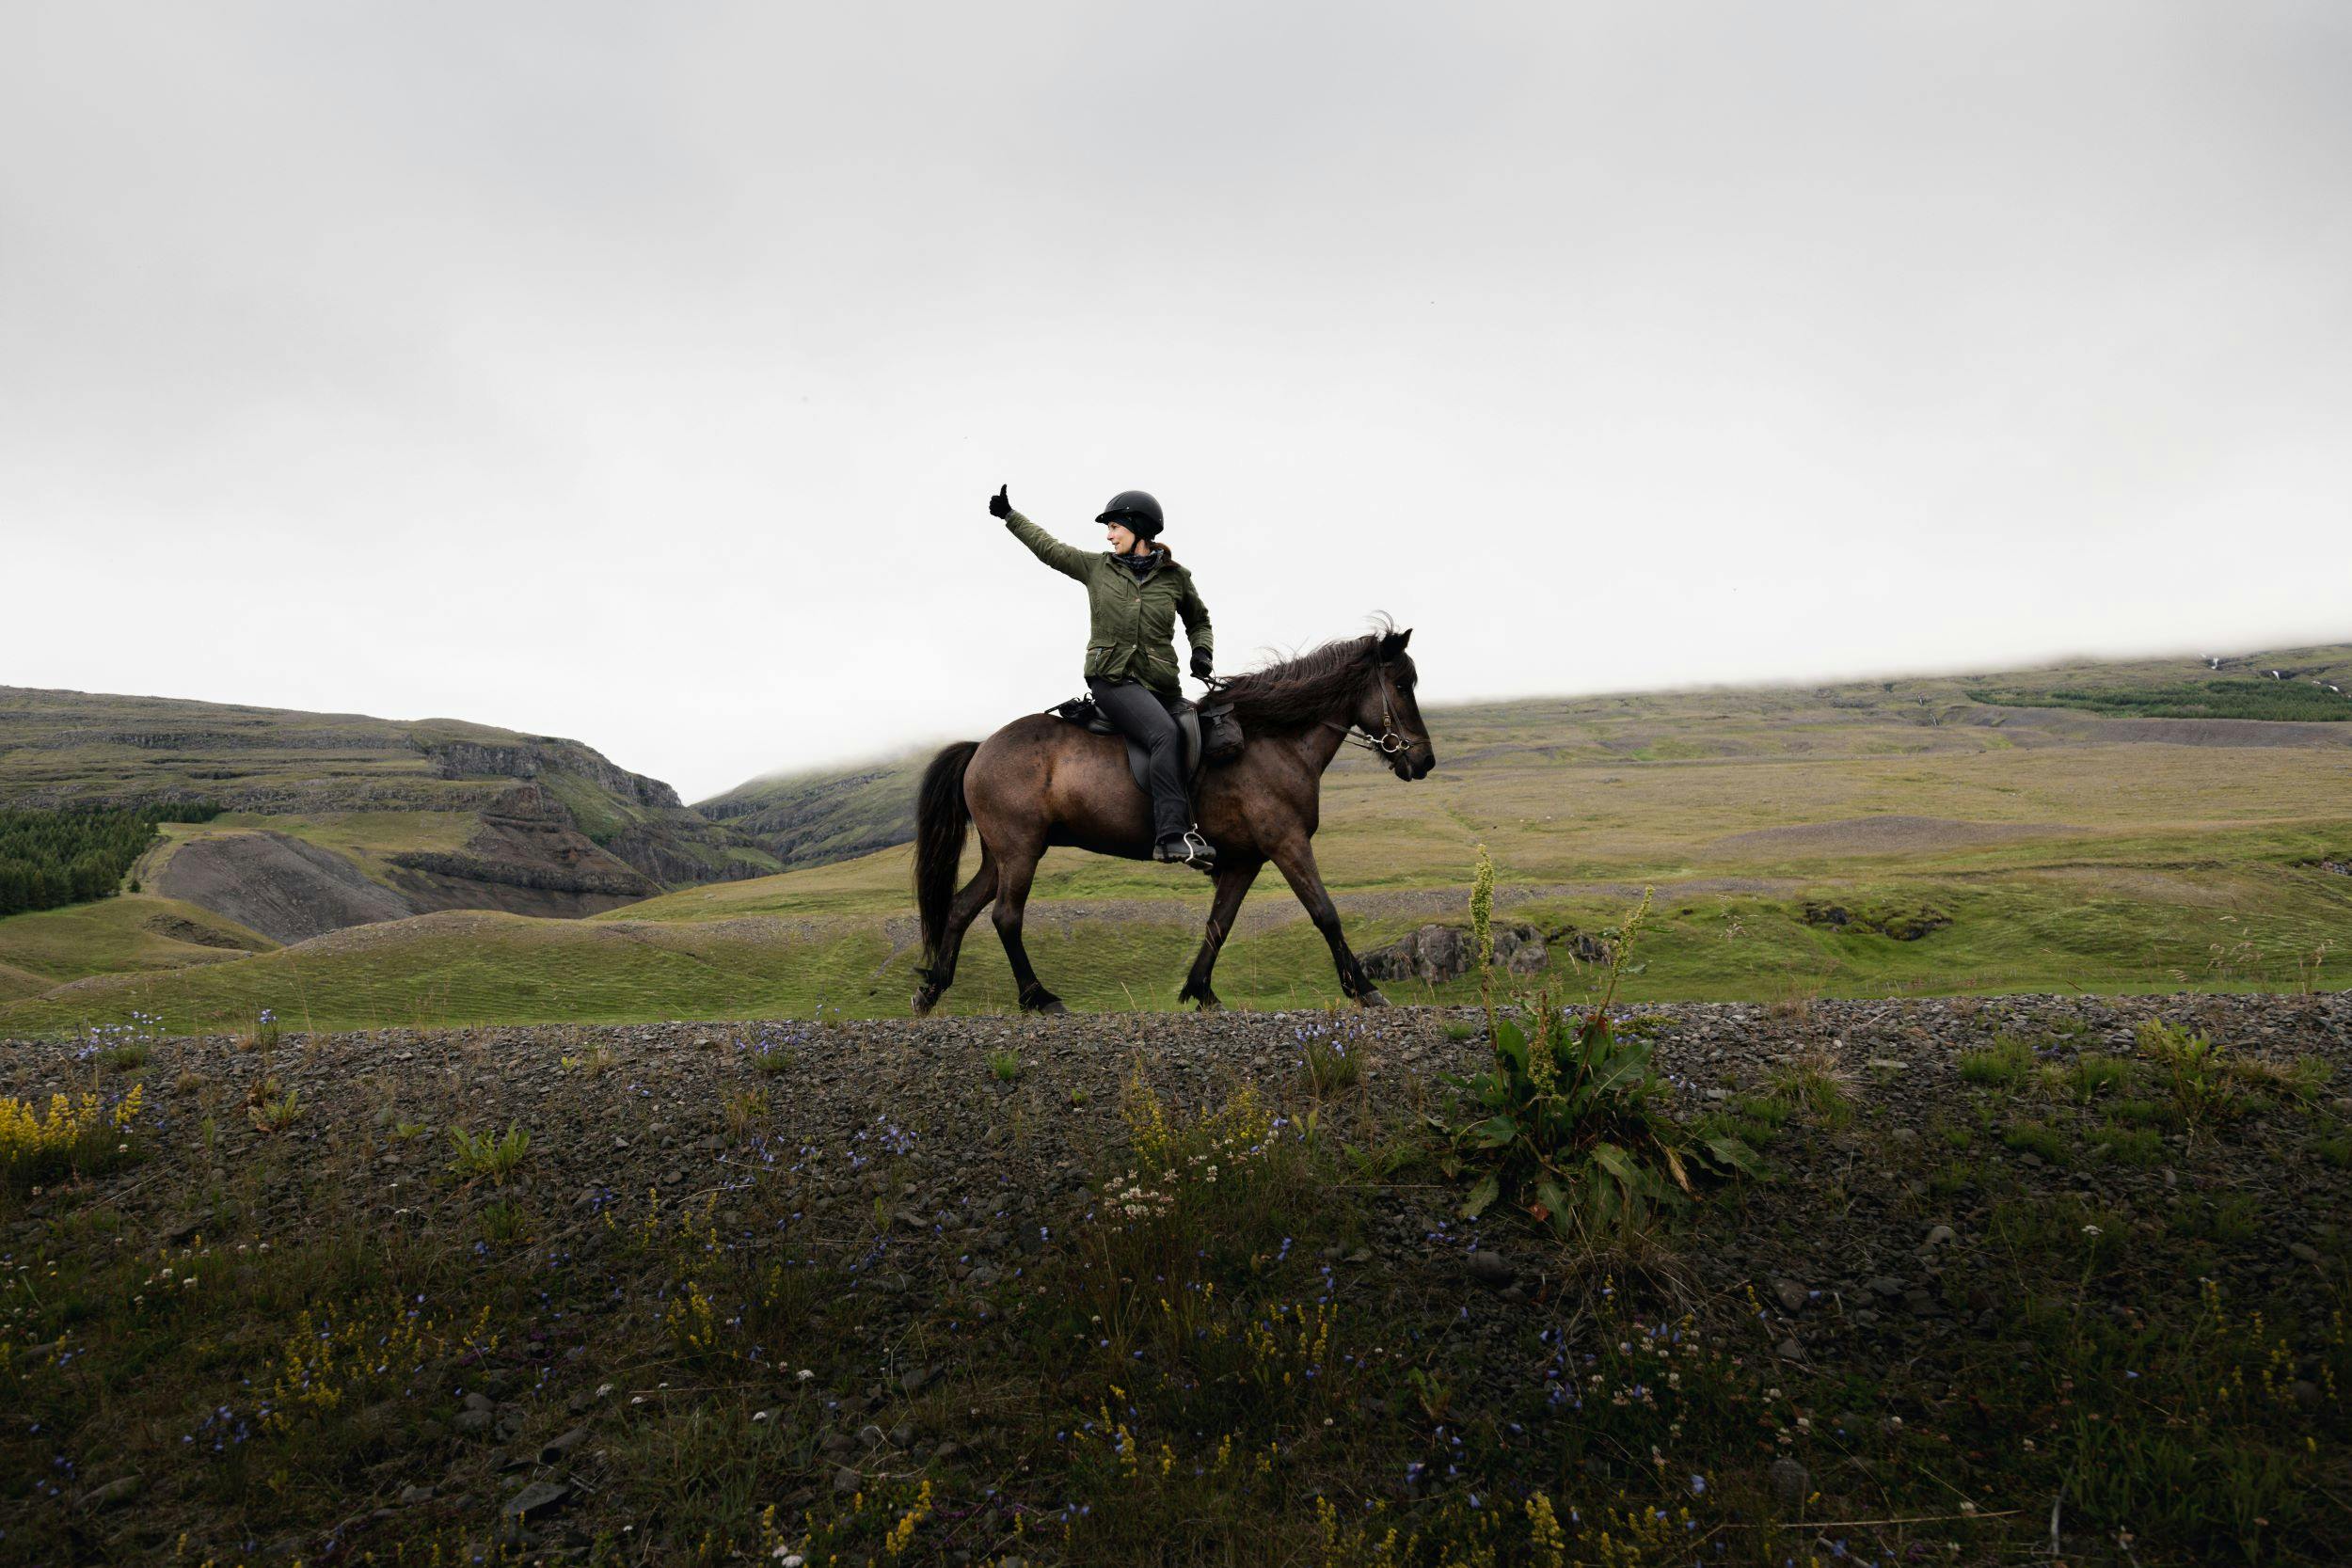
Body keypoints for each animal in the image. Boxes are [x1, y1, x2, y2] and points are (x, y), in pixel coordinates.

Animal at [913, 625, 1430, 1020]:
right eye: (1403, 686)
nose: (1424, 761)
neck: (1273, 740)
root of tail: (981, 747)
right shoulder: (1287, 843)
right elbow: (1325, 912)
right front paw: (1364, 988)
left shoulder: (1245, 860)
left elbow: (1219, 923)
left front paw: (1201, 990)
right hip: (1021, 851)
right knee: (1006, 917)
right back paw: (1039, 997)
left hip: (1000, 854)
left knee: (960, 909)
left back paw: (932, 989)